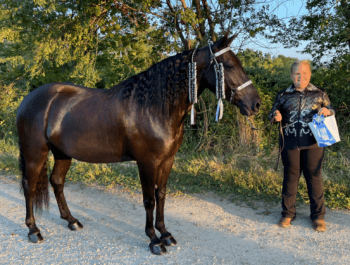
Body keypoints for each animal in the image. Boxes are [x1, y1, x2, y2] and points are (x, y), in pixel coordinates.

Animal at [17, 33, 260, 254]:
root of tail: (29, 99)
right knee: (29, 187)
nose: (255, 104)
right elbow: (149, 200)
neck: (153, 107)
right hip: (35, 154)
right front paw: (154, 240)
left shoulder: (167, 160)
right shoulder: (147, 162)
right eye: (228, 65)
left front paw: (166, 234)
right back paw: (34, 230)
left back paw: (71, 221)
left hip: (62, 153)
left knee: (57, 182)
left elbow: (161, 195)